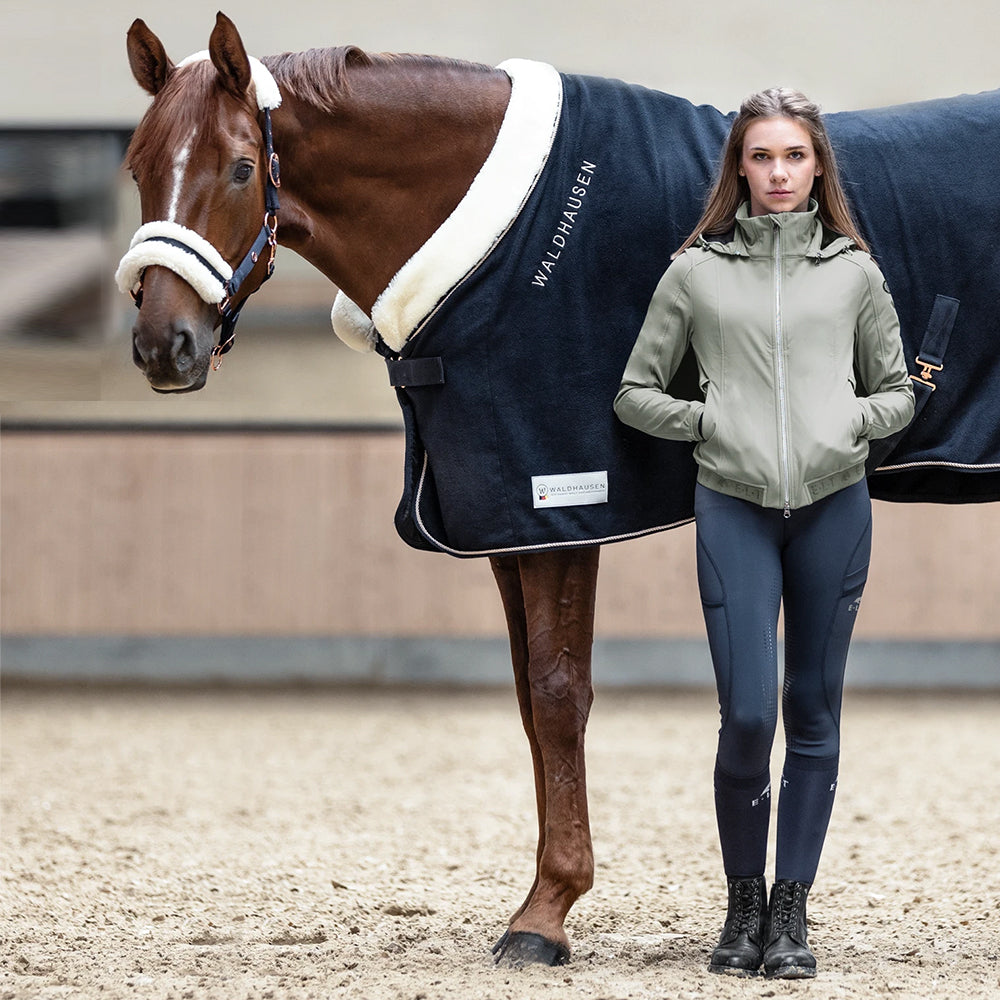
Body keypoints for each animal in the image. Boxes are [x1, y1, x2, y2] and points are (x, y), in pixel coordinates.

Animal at [118, 10, 1000, 969]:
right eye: (136, 165)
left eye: (242, 167)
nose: (164, 346)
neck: (506, 239)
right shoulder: (509, 521)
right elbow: (527, 697)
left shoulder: (561, 503)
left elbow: (556, 694)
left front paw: (545, 913)